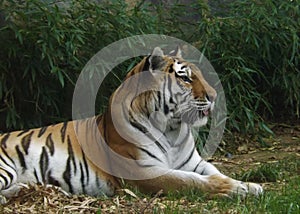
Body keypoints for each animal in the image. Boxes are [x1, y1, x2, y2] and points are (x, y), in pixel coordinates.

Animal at [0, 46, 262, 204]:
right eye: (186, 78)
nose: (215, 96)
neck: (172, 129)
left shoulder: (193, 163)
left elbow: (215, 173)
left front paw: (248, 186)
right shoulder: (143, 172)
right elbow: (190, 181)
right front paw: (233, 190)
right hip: (5, 167)